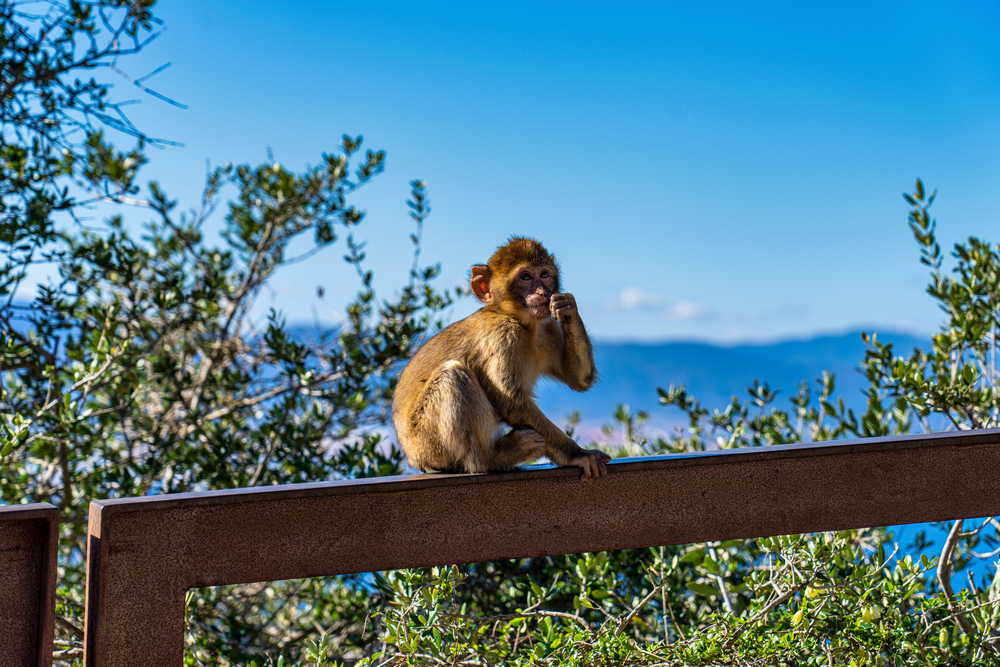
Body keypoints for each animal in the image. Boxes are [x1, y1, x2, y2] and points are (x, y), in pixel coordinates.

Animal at [390, 237, 608, 482]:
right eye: (525, 277)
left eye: (544, 274)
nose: (543, 292)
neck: (522, 323)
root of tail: (412, 456)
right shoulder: (502, 335)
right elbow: (511, 401)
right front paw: (577, 454)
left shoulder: (548, 328)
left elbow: (579, 379)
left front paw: (568, 308)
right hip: (427, 443)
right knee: (453, 374)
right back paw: (491, 458)